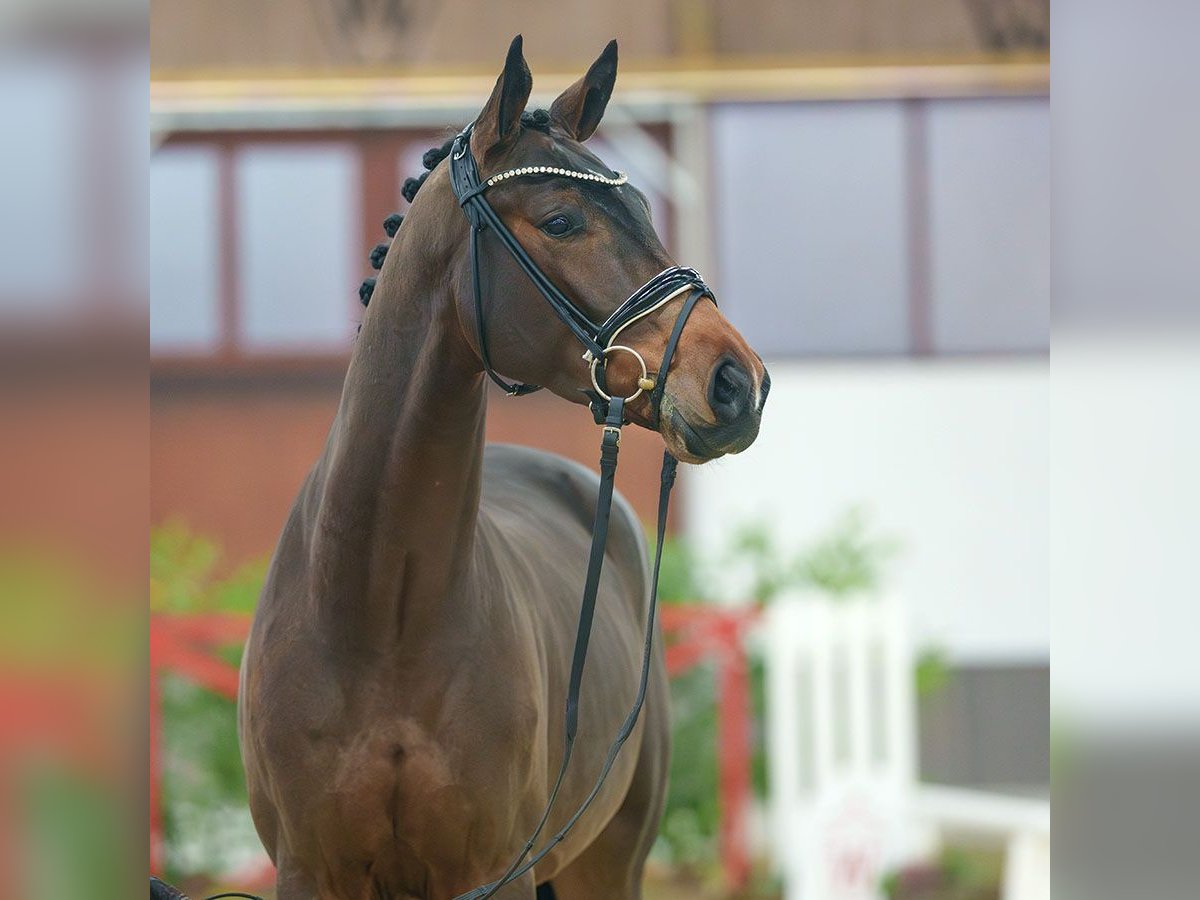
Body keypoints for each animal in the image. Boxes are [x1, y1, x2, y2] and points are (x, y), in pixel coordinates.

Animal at [236, 35, 768, 900]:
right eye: (560, 221)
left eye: (647, 212)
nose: (737, 382)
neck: (378, 608)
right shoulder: (309, 870)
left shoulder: (493, 871)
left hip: (606, 862)